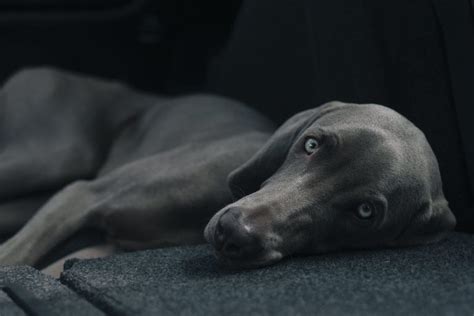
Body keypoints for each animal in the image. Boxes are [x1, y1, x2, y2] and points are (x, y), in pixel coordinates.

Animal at [0, 67, 456, 270]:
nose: (232, 232)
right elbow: (12, 259)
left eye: (365, 212)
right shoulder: (82, 195)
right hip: (54, 154)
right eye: (311, 145)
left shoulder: (104, 248)